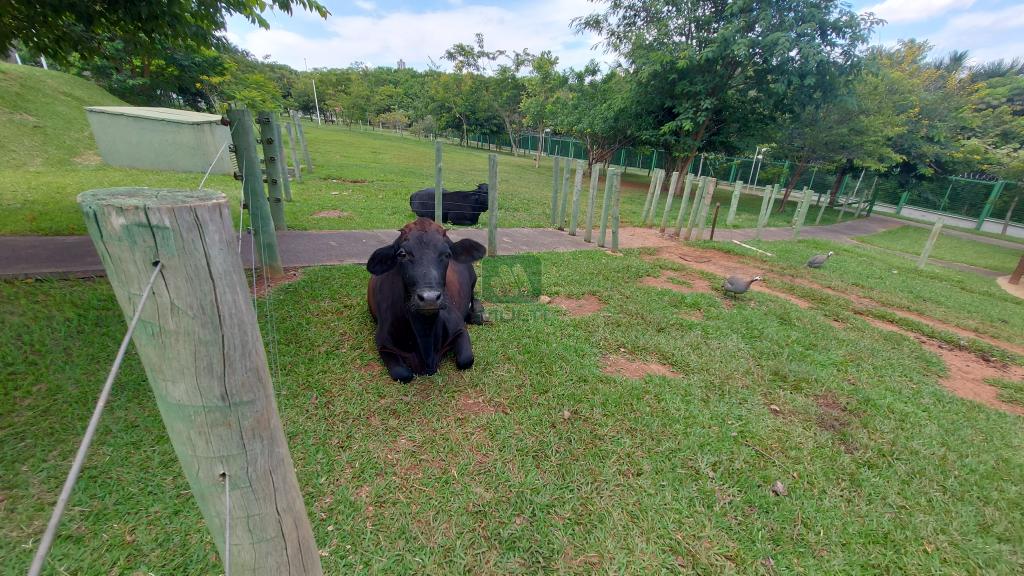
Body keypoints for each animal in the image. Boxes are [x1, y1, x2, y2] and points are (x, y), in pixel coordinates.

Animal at [366, 216, 485, 381]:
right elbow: (403, 374)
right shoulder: (383, 343)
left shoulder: (459, 328)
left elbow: (466, 359)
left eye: (447, 254)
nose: (430, 298)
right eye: (402, 254)